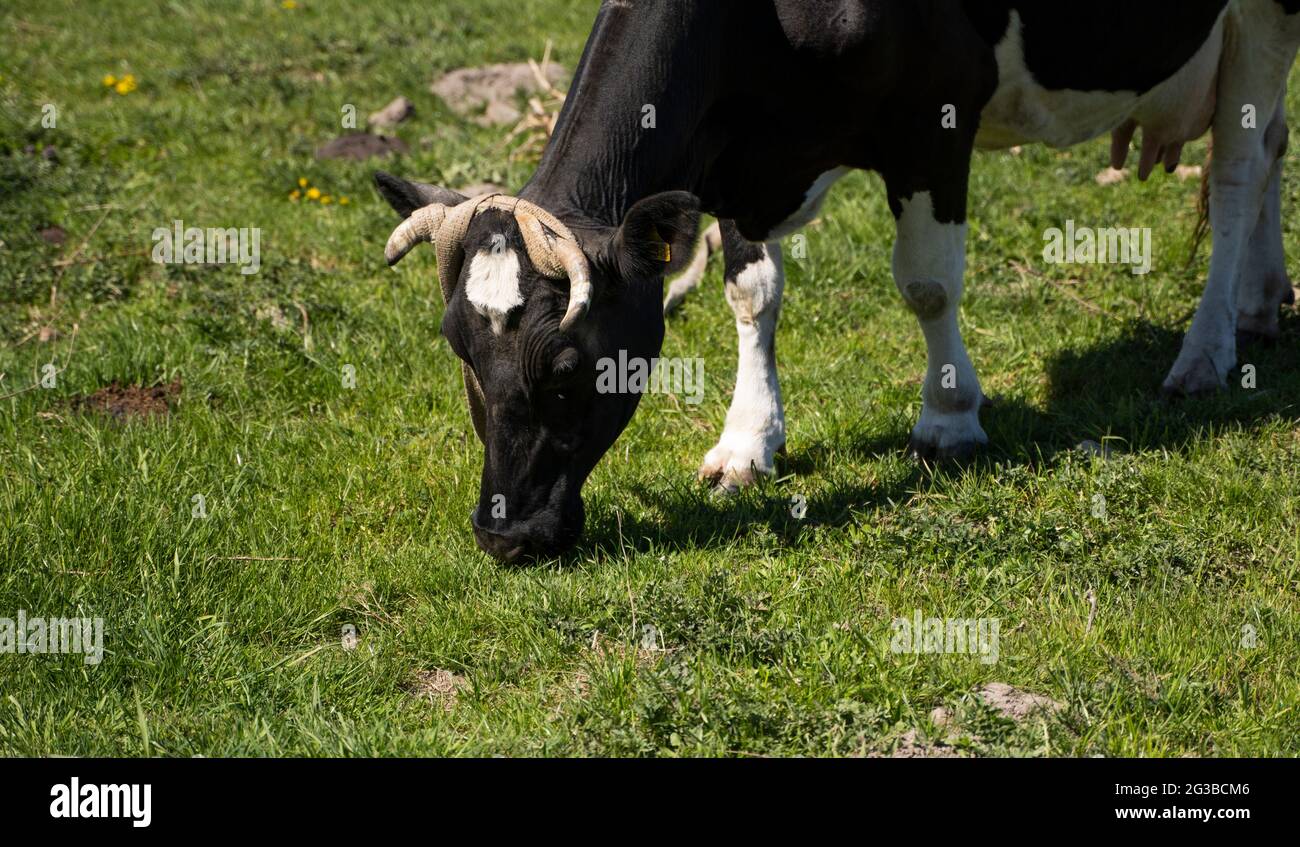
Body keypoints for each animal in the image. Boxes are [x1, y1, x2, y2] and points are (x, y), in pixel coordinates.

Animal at [376, 0, 1300, 561]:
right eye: (458, 349)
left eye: (568, 366)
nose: (505, 534)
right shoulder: (738, 158)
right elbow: (751, 290)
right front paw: (747, 443)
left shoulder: (938, 114)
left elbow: (928, 283)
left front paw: (949, 418)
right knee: (1272, 142)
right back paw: (1260, 305)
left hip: (1263, 16)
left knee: (1238, 167)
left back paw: (1205, 353)